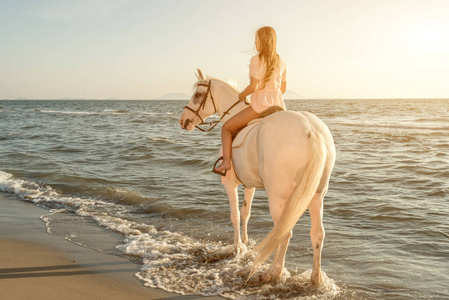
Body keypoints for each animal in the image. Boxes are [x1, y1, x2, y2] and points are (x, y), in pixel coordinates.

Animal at [178, 69, 332, 284]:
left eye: (198, 95)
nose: (183, 120)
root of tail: (311, 130)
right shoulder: (249, 185)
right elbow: (245, 213)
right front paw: (246, 242)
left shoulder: (230, 184)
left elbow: (234, 215)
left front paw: (237, 248)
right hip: (317, 196)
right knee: (317, 234)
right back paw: (315, 279)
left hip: (278, 197)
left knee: (283, 231)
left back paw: (274, 272)